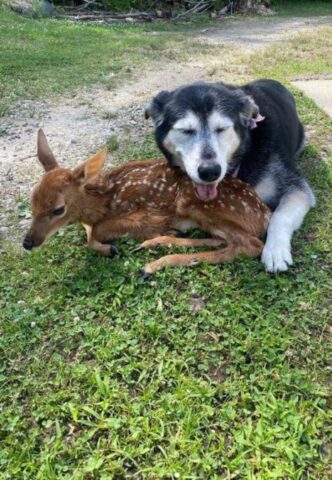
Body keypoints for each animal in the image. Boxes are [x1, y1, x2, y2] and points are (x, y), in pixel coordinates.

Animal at [146, 80, 316, 272]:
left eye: (222, 129)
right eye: (186, 131)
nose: (210, 171)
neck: (245, 153)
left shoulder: (295, 187)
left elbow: (280, 216)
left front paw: (275, 251)